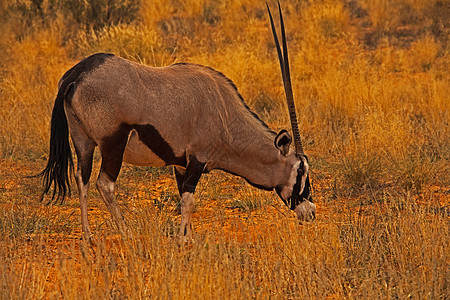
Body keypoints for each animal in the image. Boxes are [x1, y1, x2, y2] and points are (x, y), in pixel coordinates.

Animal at [37, 1, 314, 241]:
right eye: (300, 170)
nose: (310, 212)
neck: (225, 115)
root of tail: (76, 74)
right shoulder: (196, 161)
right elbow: (188, 200)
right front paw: (183, 240)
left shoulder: (180, 165)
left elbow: (183, 198)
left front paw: (187, 236)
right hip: (112, 143)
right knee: (104, 183)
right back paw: (126, 233)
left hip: (83, 141)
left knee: (81, 179)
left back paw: (87, 237)